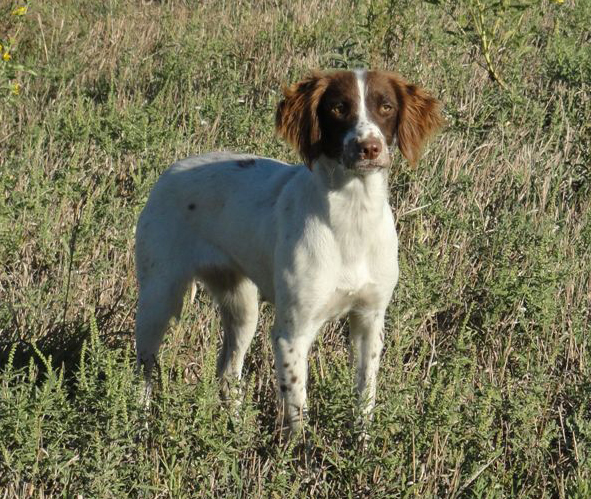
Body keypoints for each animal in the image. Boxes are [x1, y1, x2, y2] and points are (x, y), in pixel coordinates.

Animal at [133, 69, 440, 434]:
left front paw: (361, 444)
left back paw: (238, 433)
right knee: (143, 374)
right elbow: (298, 411)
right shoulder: (292, 334)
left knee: (227, 373)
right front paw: (300, 450)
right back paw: (138, 430)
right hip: (158, 299)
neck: (352, 217)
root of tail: (172, 170)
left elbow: (365, 400)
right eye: (338, 108)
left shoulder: (370, 321)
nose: (369, 147)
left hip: (242, 306)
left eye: (386, 107)